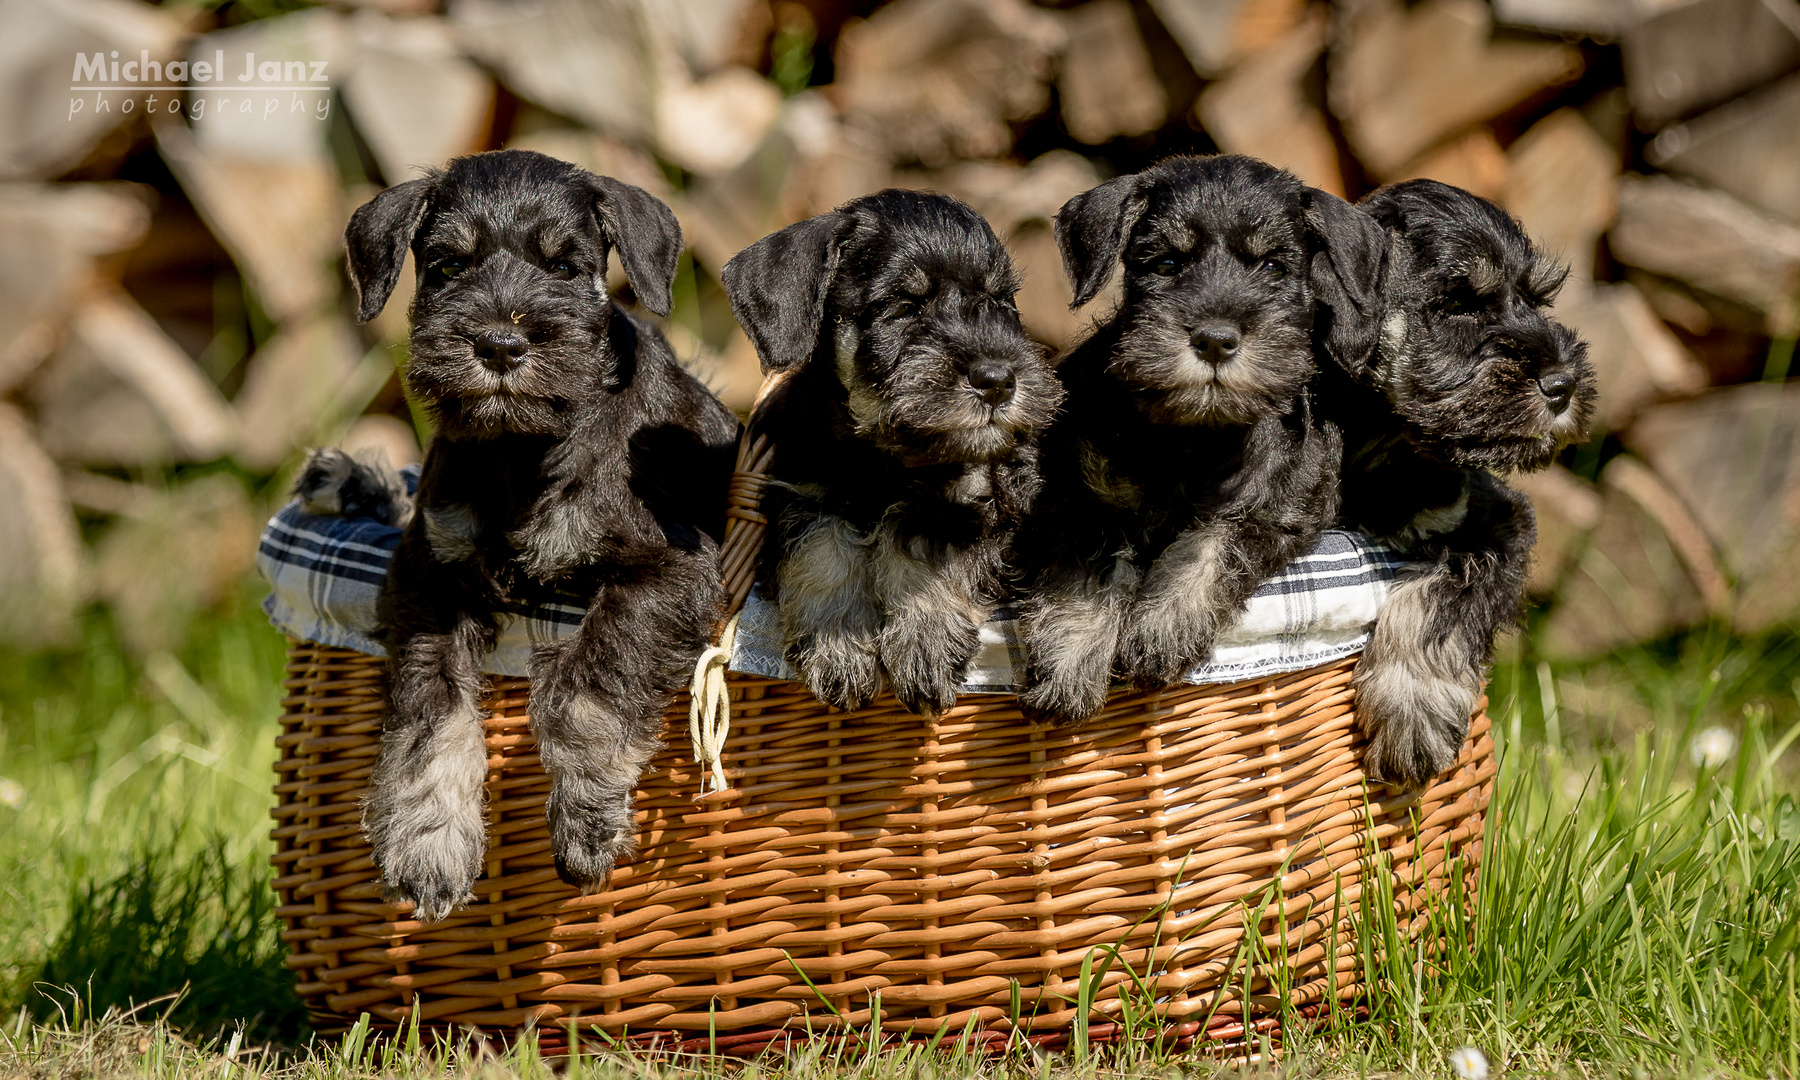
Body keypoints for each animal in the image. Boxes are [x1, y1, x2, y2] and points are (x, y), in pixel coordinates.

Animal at [334, 145, 734, 918]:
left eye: (565, 267)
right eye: (447, 265)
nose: (499, 343)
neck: (519, 450)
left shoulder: (672, 569)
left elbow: (591, 681)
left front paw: (586, 819)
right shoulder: (427, 578)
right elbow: (432, 712)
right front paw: (427, 846)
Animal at [716, 191, 1051, 716]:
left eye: (999, 301)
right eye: (904, 306)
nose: (998, 380)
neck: (880, 457)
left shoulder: (975, 511)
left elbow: (920, 545)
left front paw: (924, 643)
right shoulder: (802, 493)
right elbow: (821, 551)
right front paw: (835, 645)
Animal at [1022, 152, 1368, 727]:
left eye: (1273, 267)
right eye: (1165, 263)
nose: (1214, 339)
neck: (1195, 435)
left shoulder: (1282, 503)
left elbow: (1211, 543)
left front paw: (1161, 628)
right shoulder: (1077, 495)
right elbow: (1085, 569)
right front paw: (1066, 660)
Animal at [1317, 177, 1598, 784]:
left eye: (1537, 300)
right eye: (1458, 305)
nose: (1563, 383)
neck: (1386, 443)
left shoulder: (1495, 518)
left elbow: (1445, 590)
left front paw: (1411, 710)